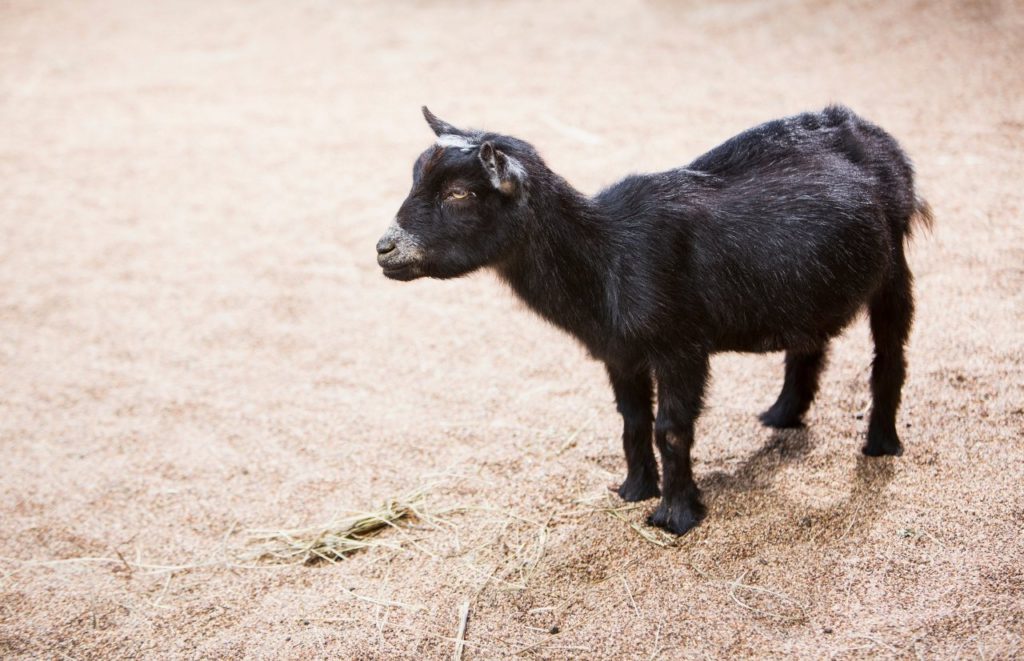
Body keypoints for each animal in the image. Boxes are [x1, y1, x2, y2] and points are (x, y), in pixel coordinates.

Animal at [376, 106, 929, 536]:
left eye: (459, 194)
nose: (385, 249)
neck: (606, 255)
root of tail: (873, 134)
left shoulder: (680, 347)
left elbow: (671, 428)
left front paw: (675, 515)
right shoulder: (620, 352)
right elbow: (633, 421)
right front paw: (635, 490)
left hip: (893, 267)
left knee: (891, 354)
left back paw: (881, 444)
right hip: (805, 282)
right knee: (809, 343)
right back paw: (781, 415)